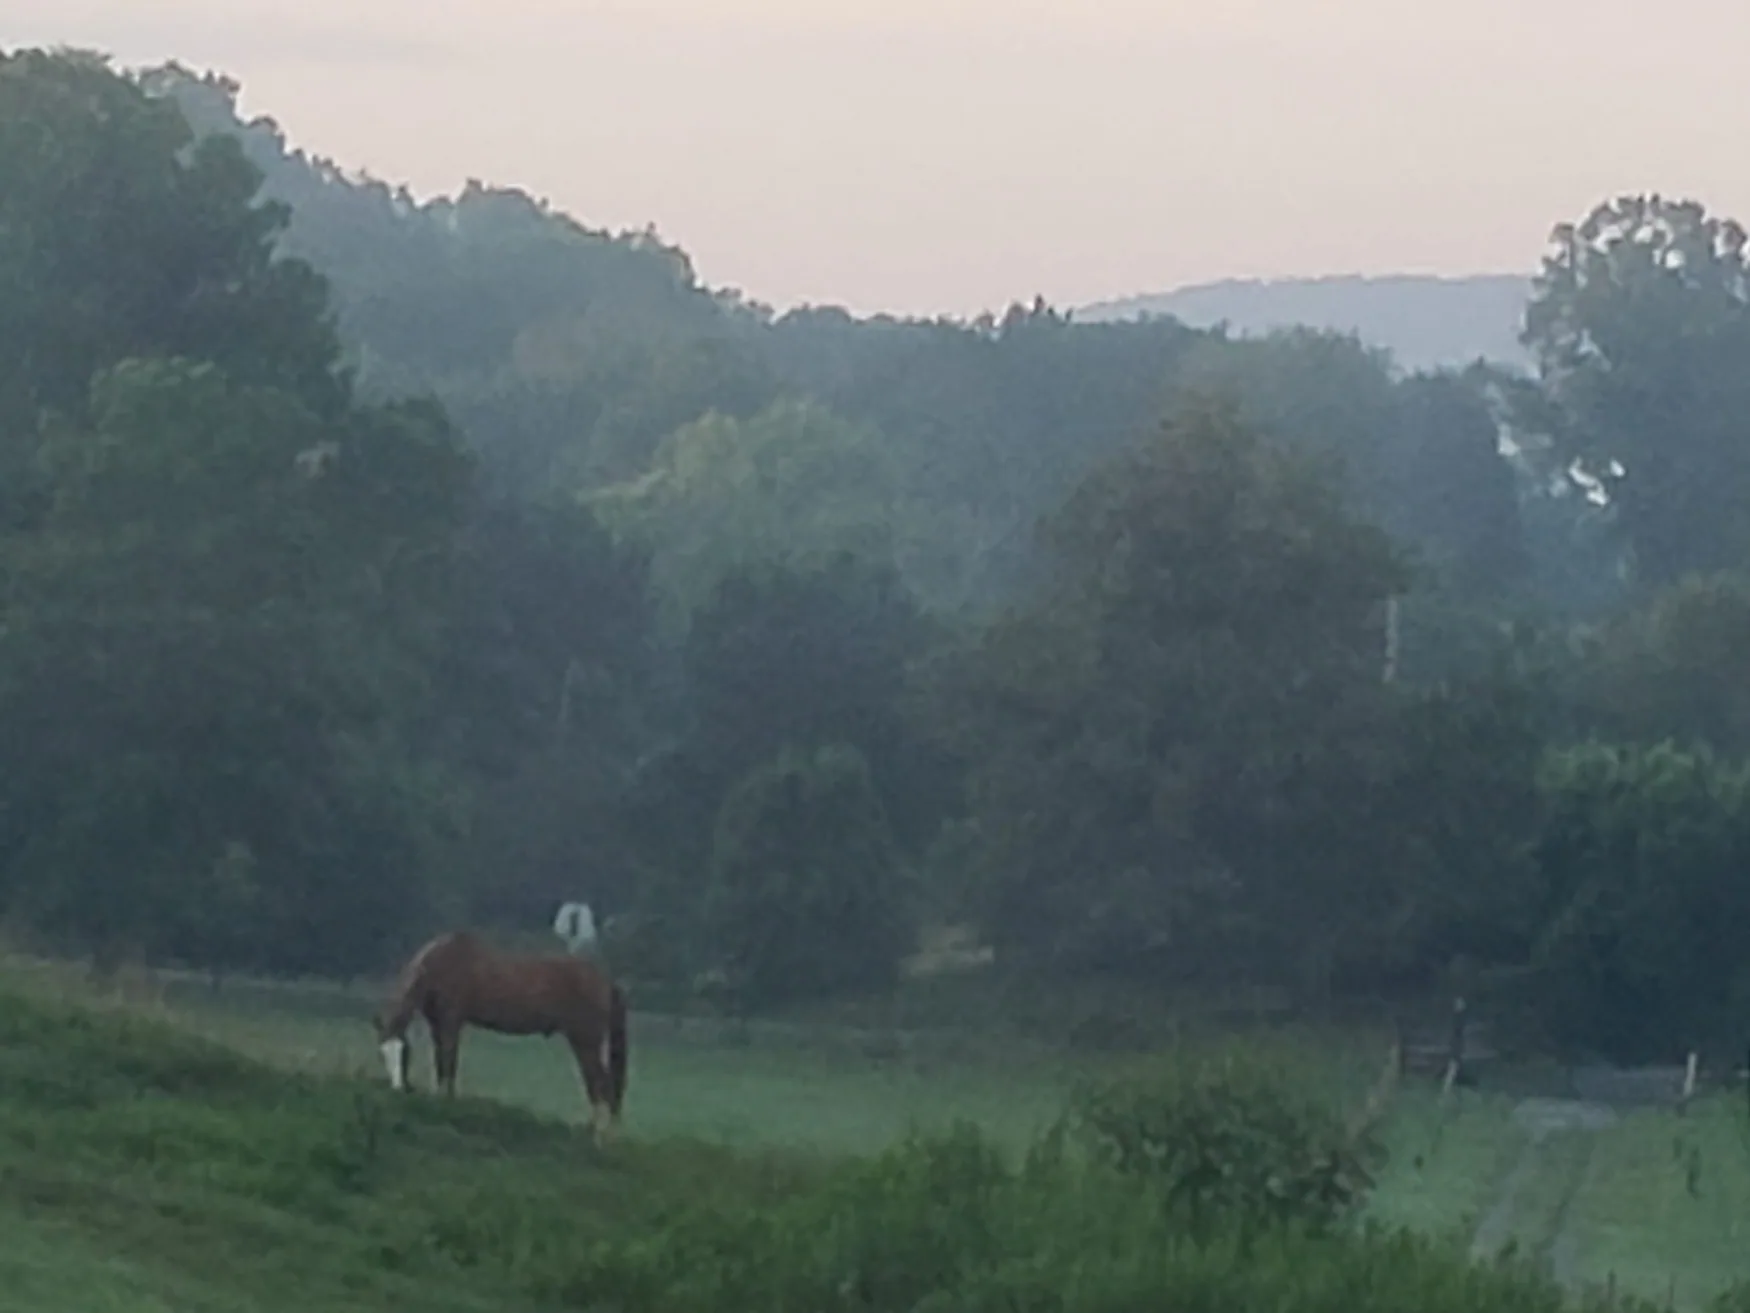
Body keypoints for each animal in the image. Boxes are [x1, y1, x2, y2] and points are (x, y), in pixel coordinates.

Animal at [372, 930, 629, 1141]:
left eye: (404, 1053)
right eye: (383, 1053)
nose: (397, 1088)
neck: (441, 964)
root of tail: (606, 981)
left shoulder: (451, 1021)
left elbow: (449, 1060)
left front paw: (447, 1101)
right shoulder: (436, 1024)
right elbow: (440, 1062)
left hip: (585, 1041)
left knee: (602, 1084)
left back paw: (601, 1136)